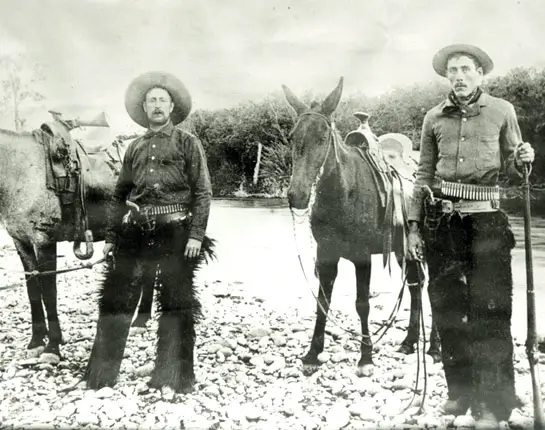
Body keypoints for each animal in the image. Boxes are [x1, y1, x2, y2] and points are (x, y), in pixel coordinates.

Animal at [0, 122, 152, 360]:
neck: (20, 170)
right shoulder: (21, 242)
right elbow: (33, 290)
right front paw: (36, 341)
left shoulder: (44, 242)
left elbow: (49, 293)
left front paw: (53, 346)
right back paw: (141, 320)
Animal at [282, 78, 440, 376]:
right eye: (292, 137)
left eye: (322, 138)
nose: (297, 195)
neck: (344, 193)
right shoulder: (326, 255)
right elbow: (323, 302)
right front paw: (312, 353)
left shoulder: (362, 256)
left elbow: (362, 304)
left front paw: (366, 356)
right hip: (403, 249)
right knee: (415, 286)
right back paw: (409, 341)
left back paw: (434, 347)